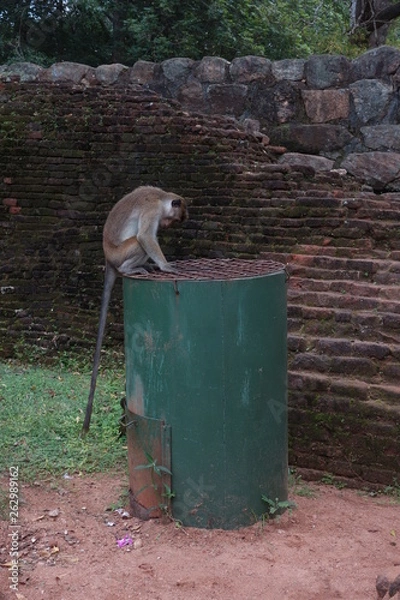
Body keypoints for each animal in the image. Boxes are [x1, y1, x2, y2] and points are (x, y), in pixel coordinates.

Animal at [82, 185, 188, 434]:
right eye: (172, 220)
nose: (167, 226)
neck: (161, 198)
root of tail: (108, 258)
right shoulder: (152, 211)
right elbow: (146, 237)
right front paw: (165, 265)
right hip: (121, 253)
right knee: (139, 242)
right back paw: (130, 269)